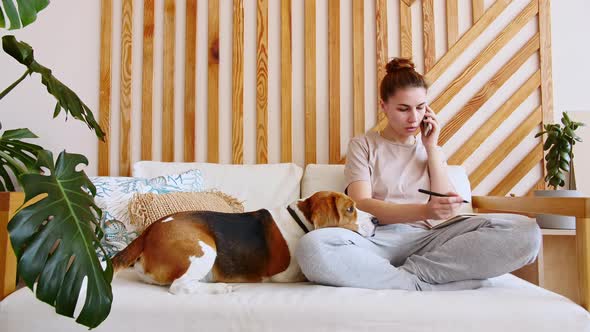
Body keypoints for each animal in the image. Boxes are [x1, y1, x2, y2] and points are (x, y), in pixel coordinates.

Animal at [113, 191, 376, 294]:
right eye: (350, 209)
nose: (375, 219)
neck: (299, 220)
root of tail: (148, 232)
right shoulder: (283, 274)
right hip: (204, 248)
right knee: (179, 287)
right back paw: (221, 288)